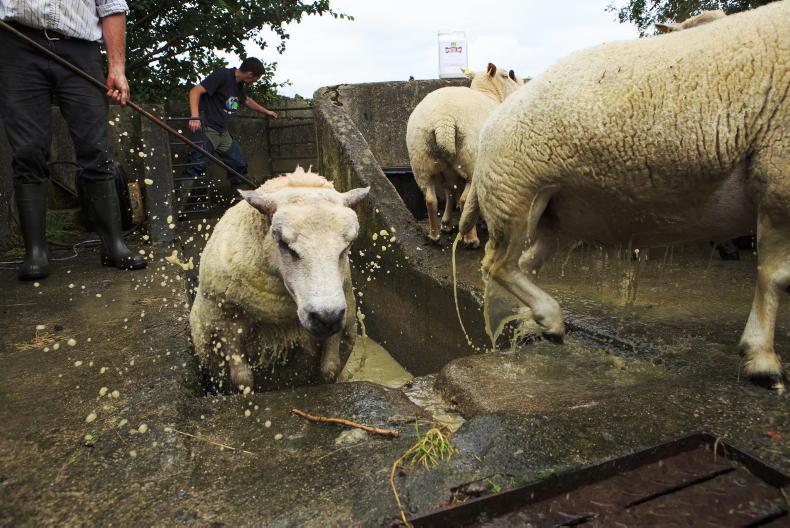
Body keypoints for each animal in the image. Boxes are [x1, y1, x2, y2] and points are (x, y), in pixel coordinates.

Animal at [189, 167, 370, 392]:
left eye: (348, 245)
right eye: (284, 243)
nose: (327, 317)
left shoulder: (341, 319)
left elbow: (330, 367)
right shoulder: (224, 321)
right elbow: (242, 378)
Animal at [406, 63, 524, 247]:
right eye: (506, 76)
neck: (490, 94)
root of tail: (444, 119)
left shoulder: (450, 173)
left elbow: (449, 193)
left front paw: (447, 223)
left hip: (421, 162)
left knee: (431, 199)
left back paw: (435, 235)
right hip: (471, 161)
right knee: (465, 199)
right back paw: (470, 239)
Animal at [459, 1, 790, 391]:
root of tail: (492, 121)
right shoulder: (777, 173)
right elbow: (774, 275)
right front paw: (763, 361)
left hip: (553, 213)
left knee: (523, 263)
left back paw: (534, 320)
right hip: (516, 194)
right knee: (499, 265)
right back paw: (552, 320)